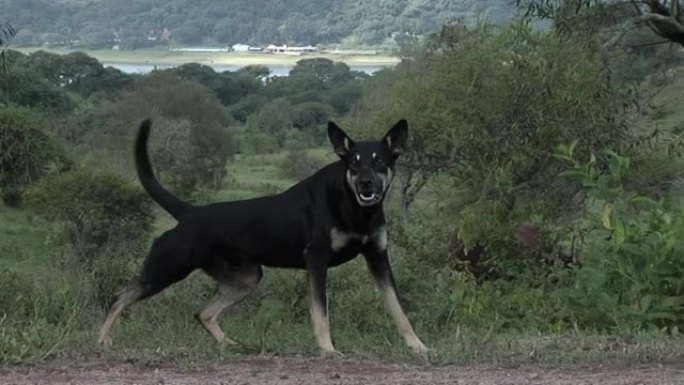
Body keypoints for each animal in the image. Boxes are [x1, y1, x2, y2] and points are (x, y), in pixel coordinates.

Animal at [97, 118, 428, 356]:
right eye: (354, 163)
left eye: (380, 162)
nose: (366, 185)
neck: (355, 209)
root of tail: (189, 213)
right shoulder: (316, 260)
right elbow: (320, 312)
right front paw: (327, 349)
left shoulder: (378, 257)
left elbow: (398, 309)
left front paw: (417, 346)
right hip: (165, 269)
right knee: (119, 297)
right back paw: (102, 340)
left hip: (246, 277)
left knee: (203, 313)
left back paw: (231, 345)